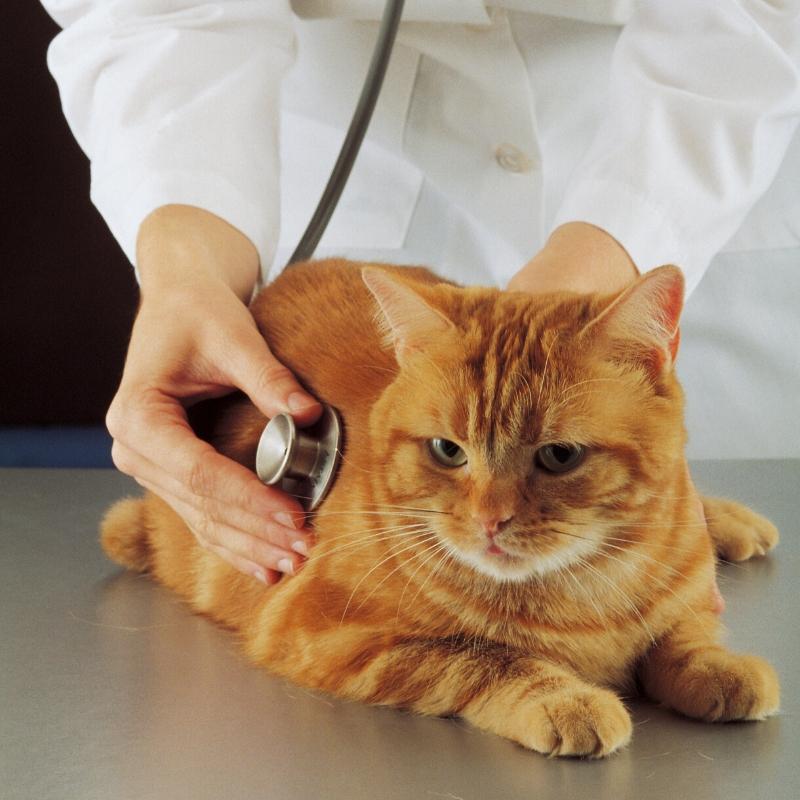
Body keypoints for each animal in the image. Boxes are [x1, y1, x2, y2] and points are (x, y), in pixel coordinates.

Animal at [98, 260, 776, 756]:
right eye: (448, 451)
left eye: (559, 456)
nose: (490, 521)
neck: (584, 590)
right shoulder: (324, 632)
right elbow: (484, 658)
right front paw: (565, 697)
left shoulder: (689, 594)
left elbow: (684, 634)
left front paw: (719, 667)